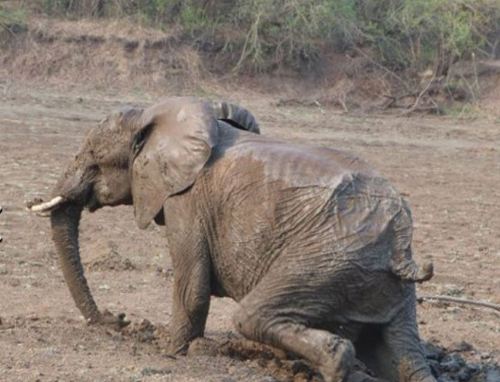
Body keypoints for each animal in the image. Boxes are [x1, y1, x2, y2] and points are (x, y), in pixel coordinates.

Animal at [28, 97, 434, 380]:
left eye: (92, 155)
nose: (118, 319)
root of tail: (400, 246)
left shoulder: (186, 200)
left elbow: (191, 287)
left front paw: (170, 352)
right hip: (381, 283)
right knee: (402, 358)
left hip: (330, 259)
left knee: (253, 315)